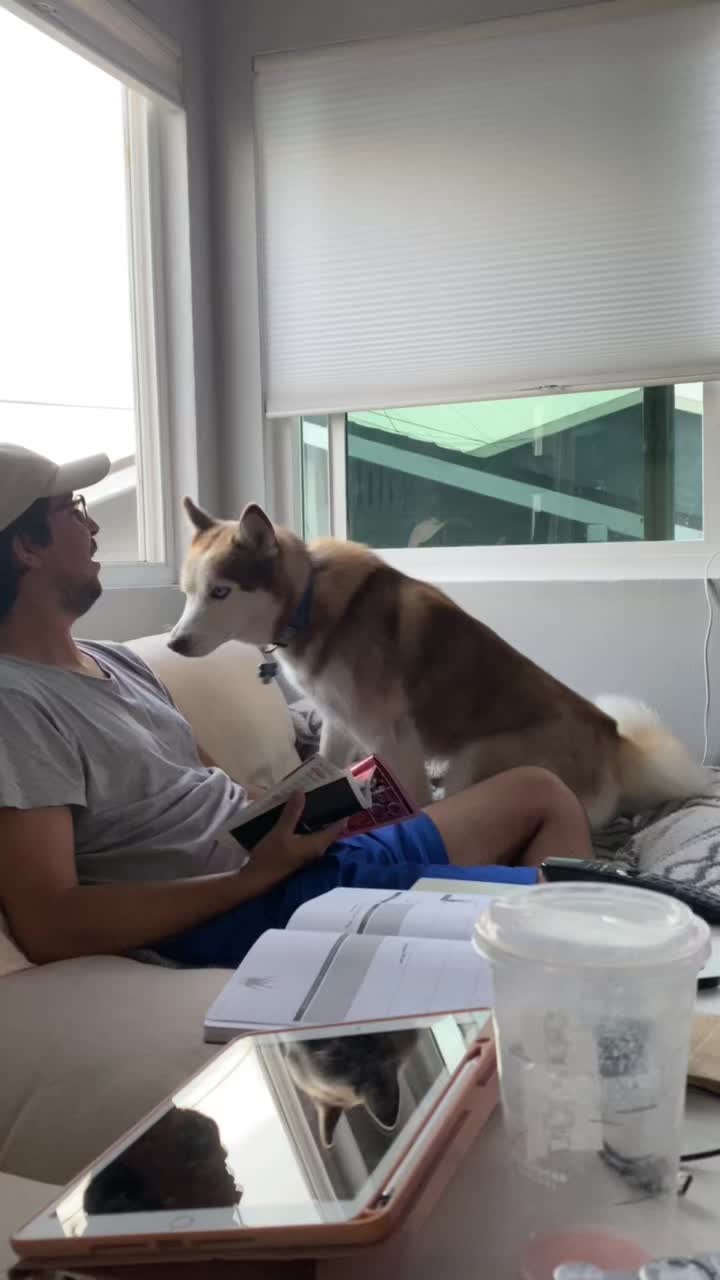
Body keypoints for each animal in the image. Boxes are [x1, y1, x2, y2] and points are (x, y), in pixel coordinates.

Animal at [168, 498, 707, 828]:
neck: (307, 602)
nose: (173, 643)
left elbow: (419, 804)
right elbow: (328, 767)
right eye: (188, 592)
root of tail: (613, 738)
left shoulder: (393, 740)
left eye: (220, 592)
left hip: (474, 759)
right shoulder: (339, 725)